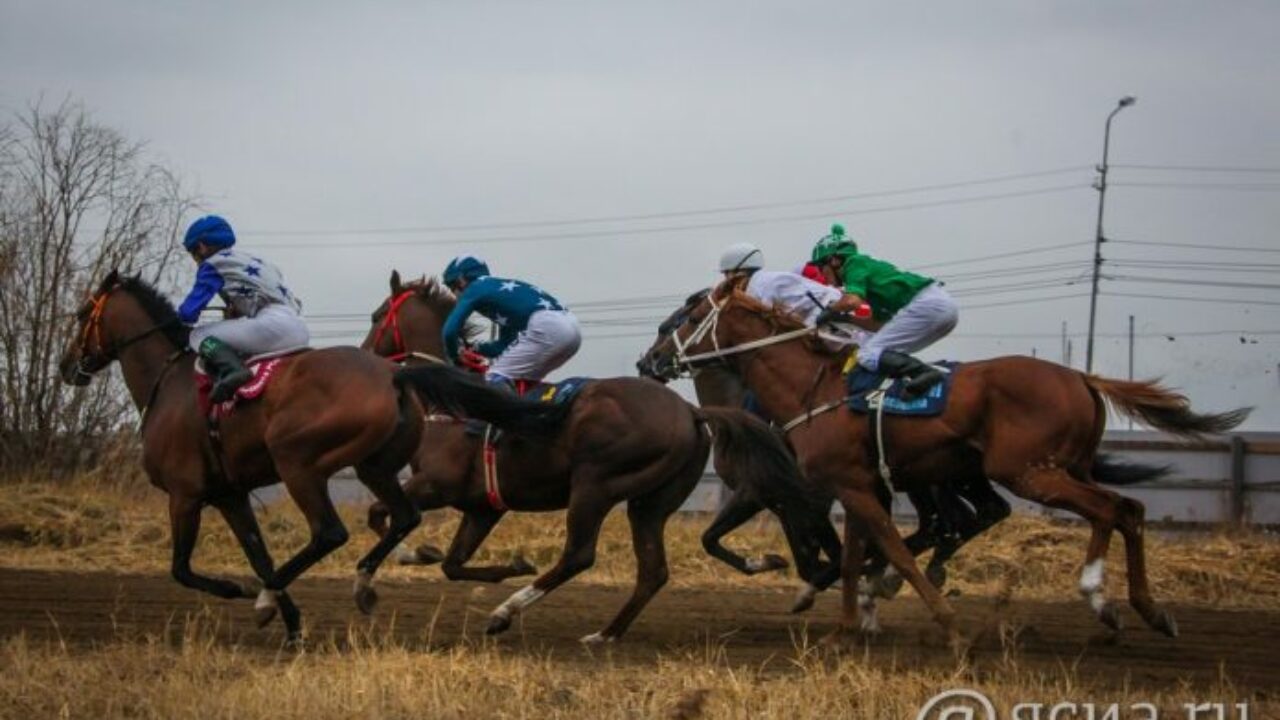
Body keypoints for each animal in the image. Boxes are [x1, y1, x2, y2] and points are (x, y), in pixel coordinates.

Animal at [58, 270, 424, 638]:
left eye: (81, 314)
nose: (65, 366)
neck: (167, 382)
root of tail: (392, 375)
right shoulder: (229, 496)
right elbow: (258, 556)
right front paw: (293, 626)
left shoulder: (184, 495)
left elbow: (181, 569)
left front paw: (244, 591)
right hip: (373, 468)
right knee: (405, 517)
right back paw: (362, 583)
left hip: (297, 464)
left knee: (329, 532)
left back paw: (267, 597)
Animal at [363, 270, 808, 638]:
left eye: (376, 316)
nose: (366, 352)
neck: (446, 403)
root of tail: (691, 412)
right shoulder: (483, 507)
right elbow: (451, 564)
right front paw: (504, 564)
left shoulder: (434, 485)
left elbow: (383, 515)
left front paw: (395, 560)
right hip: (651, 503)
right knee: (653, 571)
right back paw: (604, 634)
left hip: (594, 485)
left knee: (579, 556)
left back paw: (505, 612)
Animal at [645, 275, 1244, 638]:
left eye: (687, 316)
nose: (647, 361)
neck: (810, 386)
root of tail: (1081, 376)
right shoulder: (853, 485)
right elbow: (855, 552)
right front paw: (849, 624)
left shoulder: (815, 489)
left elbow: (878, 548)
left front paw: (941, 617)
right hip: (1040, 469)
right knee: (1125, 510)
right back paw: (1146, 610)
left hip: (1026, 472)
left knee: (1108, 511)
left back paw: (1102, 598)